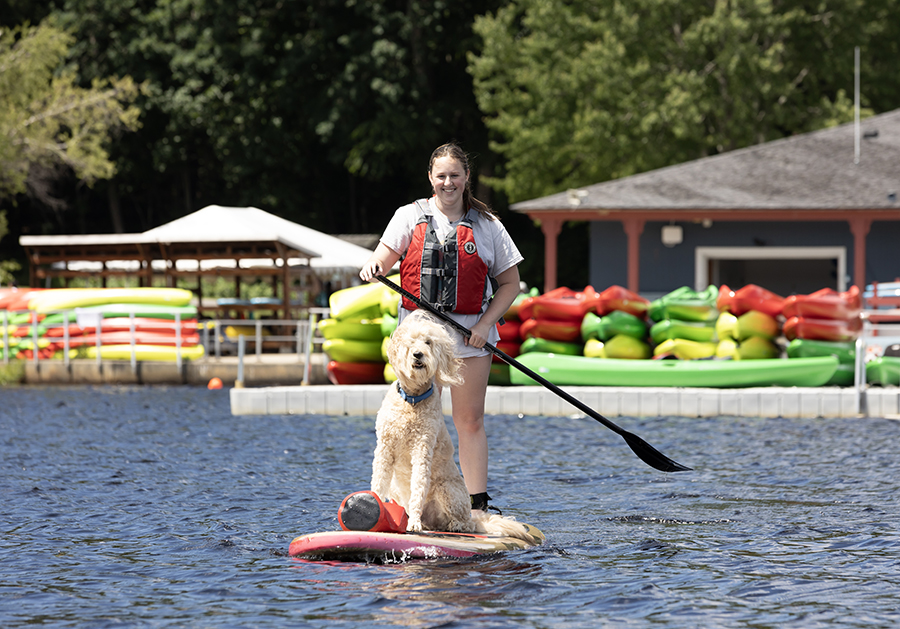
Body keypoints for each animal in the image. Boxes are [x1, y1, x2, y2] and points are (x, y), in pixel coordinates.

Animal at [370, 310, 536, 540]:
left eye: (428, 342)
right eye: (410, 342)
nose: (418, 355)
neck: (412, 401)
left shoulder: (422, 450)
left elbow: (418, 487)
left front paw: (413, 523)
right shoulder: (384, 448)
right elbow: (377, 482)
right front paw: (369, 504)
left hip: (448, 490)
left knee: (465, 523)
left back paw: (451, 525)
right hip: (399, 489)